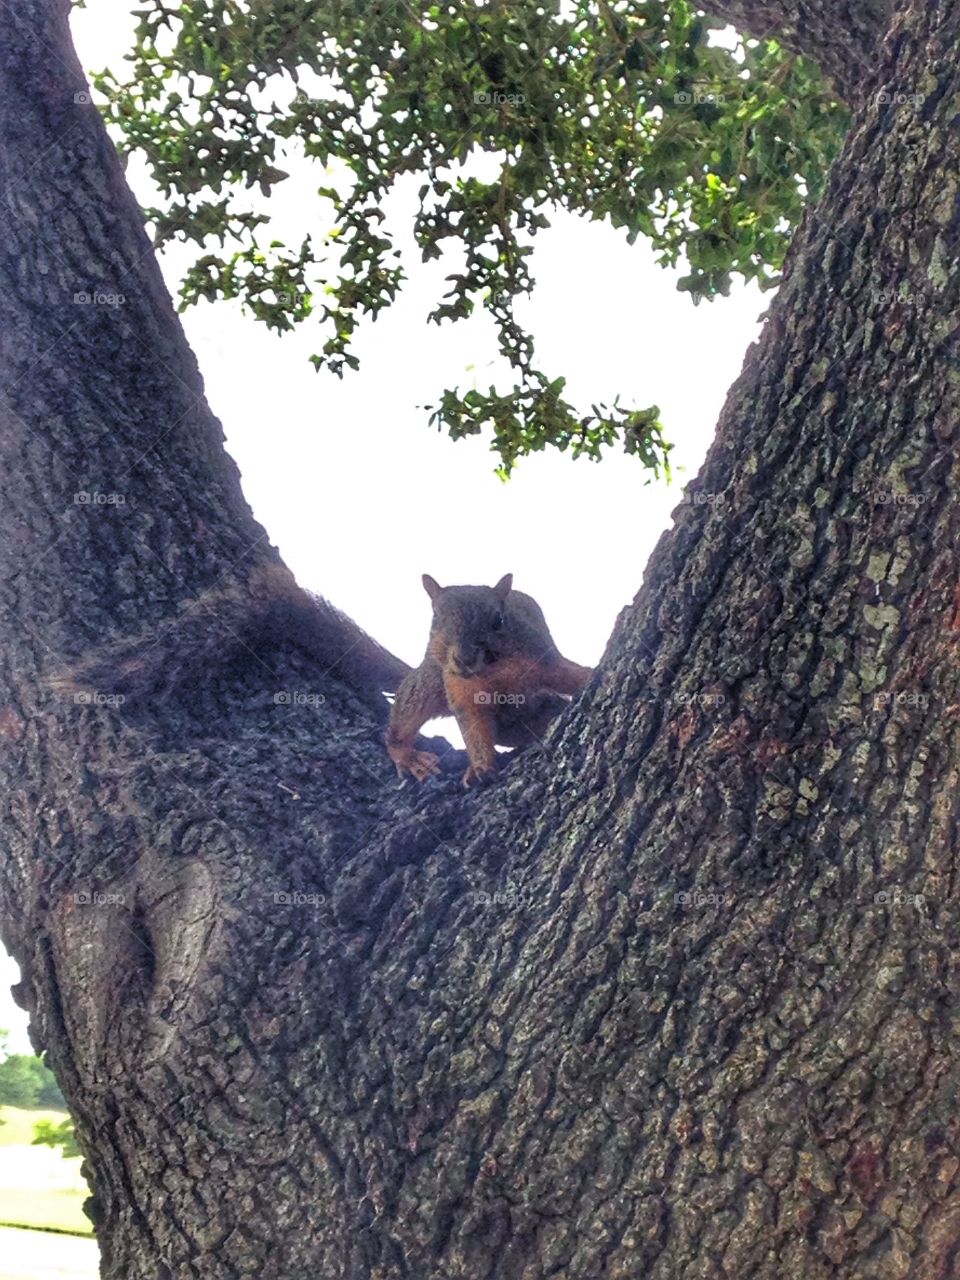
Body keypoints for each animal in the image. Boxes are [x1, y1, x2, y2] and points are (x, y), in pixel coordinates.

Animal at [386, 574, 593, 787]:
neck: (492, 672)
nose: (464, 659)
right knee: (402, 720)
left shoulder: (544, 661)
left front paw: (592, 675)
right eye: (435, 617)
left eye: (499, 620)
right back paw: (410, 758)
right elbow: (474, 729)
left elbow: (570, 675)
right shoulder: (461, 691)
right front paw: (480, 767)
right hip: (430, 680)